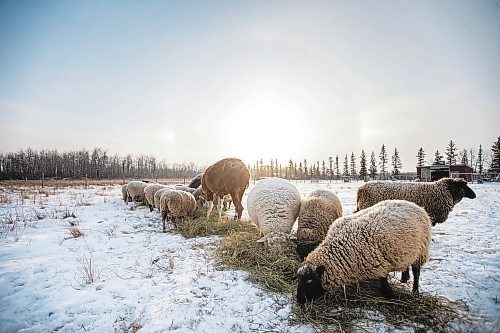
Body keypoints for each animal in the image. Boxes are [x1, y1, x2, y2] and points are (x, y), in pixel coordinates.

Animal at [294, 198, 432, 304]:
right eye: (298, 279)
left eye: (309, 280)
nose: (299, 300)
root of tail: (416, 205)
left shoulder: (378, 263)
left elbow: (383, 280)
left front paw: (389, 295)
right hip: (407, 251)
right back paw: (404, 278)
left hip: (421, 251)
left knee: (416, 272)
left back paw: (415, 291)